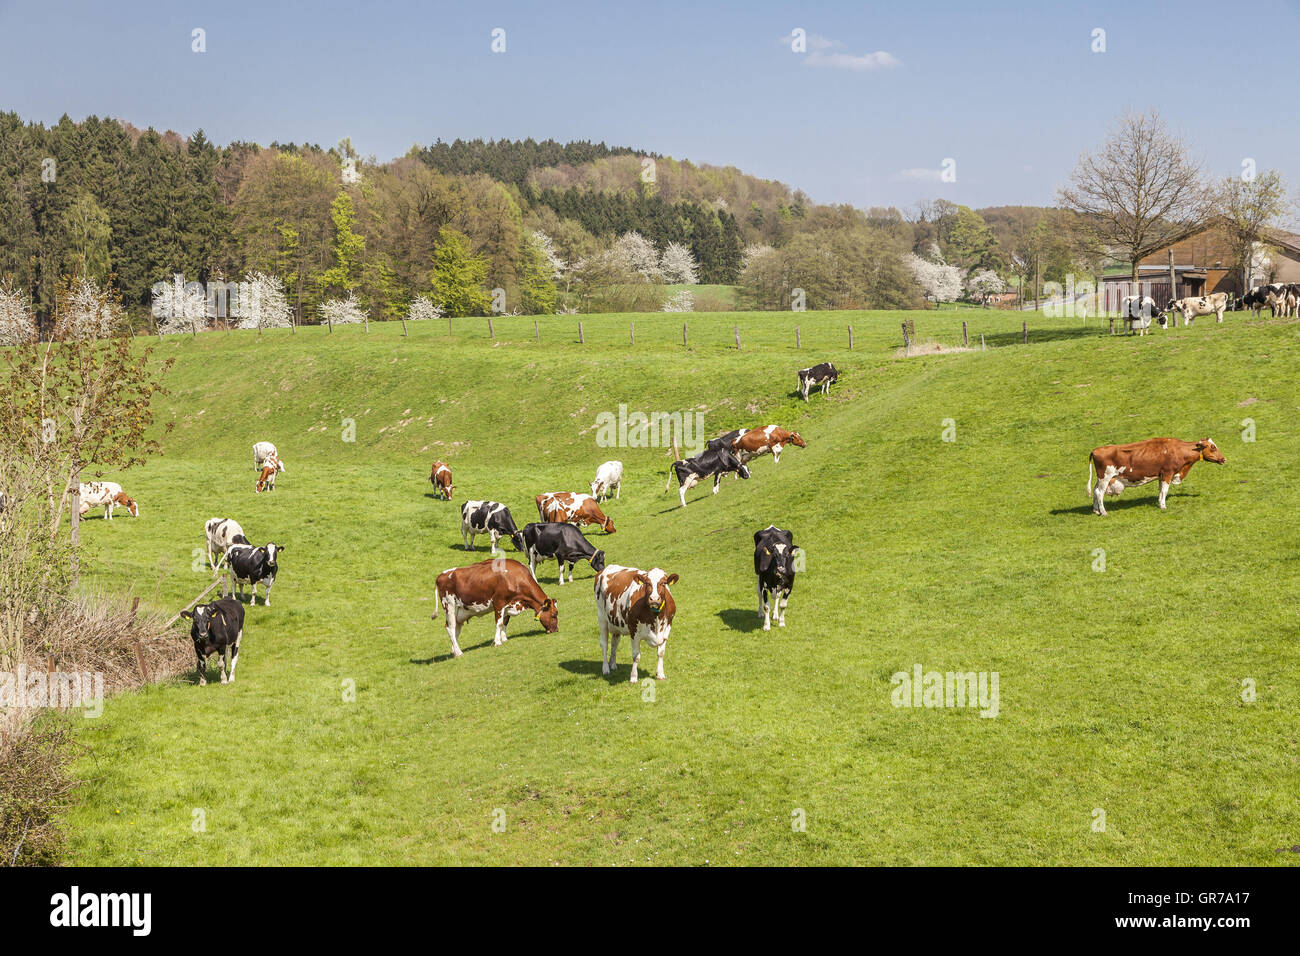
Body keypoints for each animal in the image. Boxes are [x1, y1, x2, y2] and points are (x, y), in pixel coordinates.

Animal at [1086, 439, 1227, 515]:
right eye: (1213, 447)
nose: (1224, 459)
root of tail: (1095, 450)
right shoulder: (1167, 473)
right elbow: (1165, 490)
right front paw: (1163, 506)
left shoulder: (1161, 475)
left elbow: (1160, 491)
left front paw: (1160, 503)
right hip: (1105, 477)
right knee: (1099, 493)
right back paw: (1103, 512)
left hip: (1100, 479)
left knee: (1095, 491)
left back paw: (1096, 510)